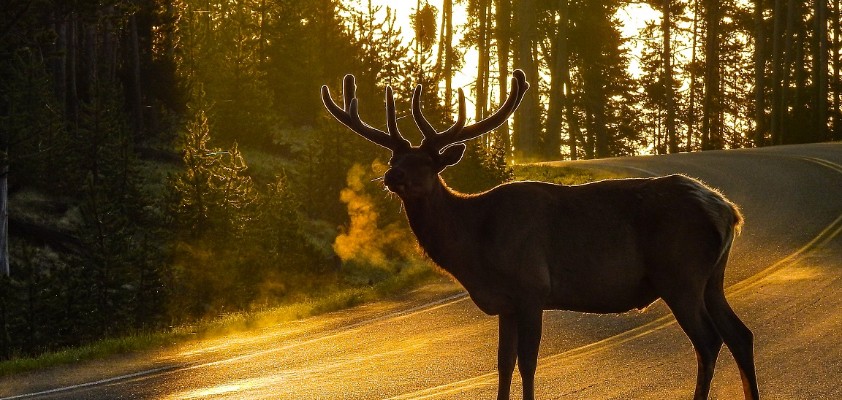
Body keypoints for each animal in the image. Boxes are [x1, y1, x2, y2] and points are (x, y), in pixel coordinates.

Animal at [320, 70, 759, 400]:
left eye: (427, 163)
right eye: (394, 158)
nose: (392, 177)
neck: (476, 246)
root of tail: (728, 211)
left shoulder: (532, 288)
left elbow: (528, 363)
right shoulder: (507, 303)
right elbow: (503, 363)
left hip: (680, 275)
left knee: (709, 341)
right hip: (710, 279)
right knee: (740, 334)